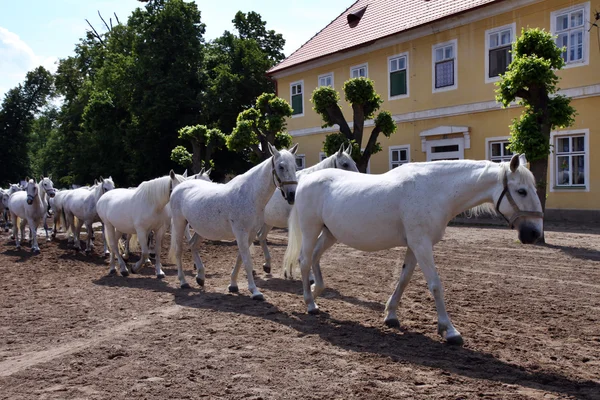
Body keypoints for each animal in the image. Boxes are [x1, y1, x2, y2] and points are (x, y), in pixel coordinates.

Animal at [169, 142, 300, 298]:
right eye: (281, 166)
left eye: (295, 166)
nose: (292, 195)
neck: (249, 194)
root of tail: (178, 187)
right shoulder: (241, 232)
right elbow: (247, 261)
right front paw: (255, 291)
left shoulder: (250, 234)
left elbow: (240, 258)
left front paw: (233, 285)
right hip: (179, 224)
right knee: (179, 250)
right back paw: (183, 281)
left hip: (201, 229)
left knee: (193, 245)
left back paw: (200, 277)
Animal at [282, 154, 544, 344]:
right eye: (521, 191)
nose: (534, 233)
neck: (435, 191)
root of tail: (305, 181)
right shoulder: (421, 244)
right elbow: (435, 285)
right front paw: (449, 330)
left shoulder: (414, 245)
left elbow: (404, 278)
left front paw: (391, 316)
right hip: (310, 229)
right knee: (304, 260)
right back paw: (310, 303)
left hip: (330, 233)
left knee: (315, 257)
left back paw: (317, 290)